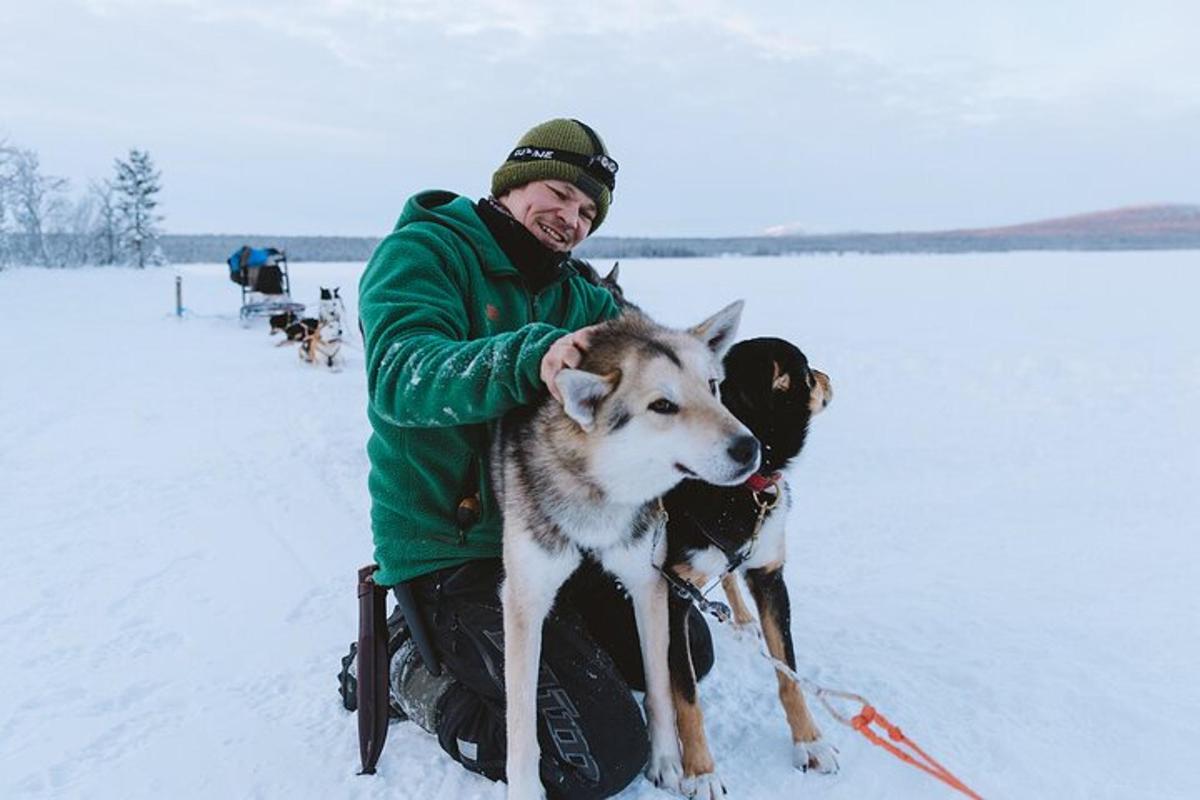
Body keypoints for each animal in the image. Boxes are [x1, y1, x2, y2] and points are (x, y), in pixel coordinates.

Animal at [657, 335, 835, 796]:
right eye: (807, 374)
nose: (829, 377)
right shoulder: (672, 596)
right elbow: (686, 698)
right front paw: (701, 772)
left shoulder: (770, 576)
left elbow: (789, 674)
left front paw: (810, 742)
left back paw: (739, 617)